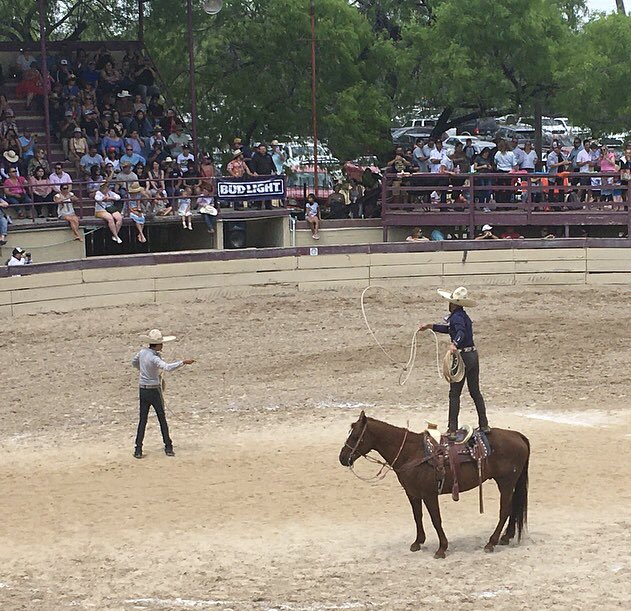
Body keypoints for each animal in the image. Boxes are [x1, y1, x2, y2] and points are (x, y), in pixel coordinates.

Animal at [338, 412, 532, 560]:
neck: (412, 453)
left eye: (355, 436)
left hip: (506, 482)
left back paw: (491, 542)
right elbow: (418, 517)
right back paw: (506, 537)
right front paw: (418, 542)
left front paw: (441, 548)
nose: (343, 458)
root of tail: (517, 435)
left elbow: (435, 519)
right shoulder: (412, 493)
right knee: (512, 507)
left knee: (505, 510)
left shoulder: (429, 494)